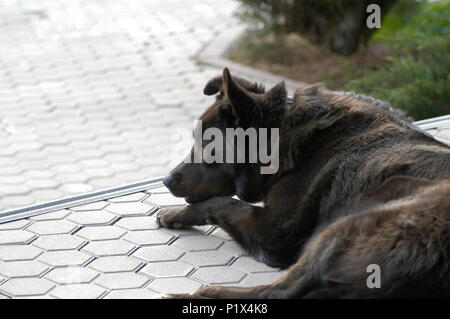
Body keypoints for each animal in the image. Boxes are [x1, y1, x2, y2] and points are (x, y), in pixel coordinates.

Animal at [157, 68, 450, 300]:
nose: (166, 180)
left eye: (207, 143)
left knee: (277, 292)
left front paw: (175, 213)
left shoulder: (272, 231)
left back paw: (200, 293)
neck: (281, 138)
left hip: (346, 223)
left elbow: (222, 203)